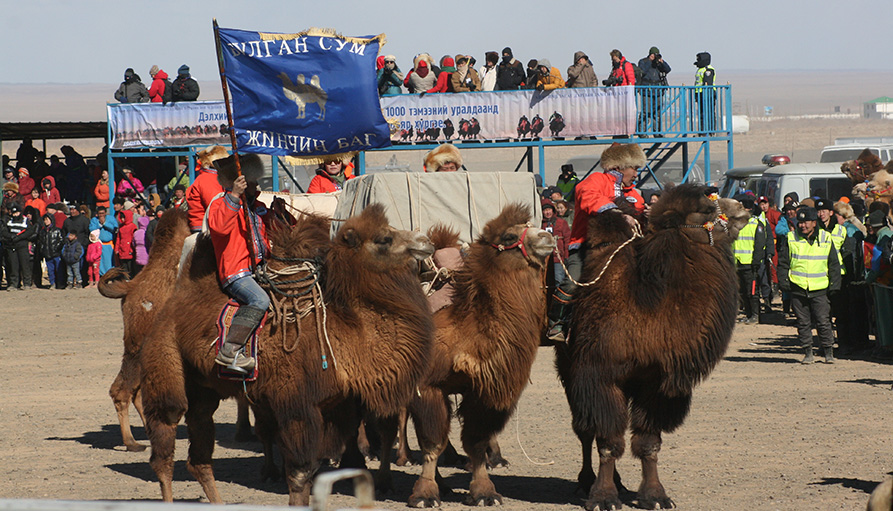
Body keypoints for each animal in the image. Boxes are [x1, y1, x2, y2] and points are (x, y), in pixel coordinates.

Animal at [139, 206, 436, 506]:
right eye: (384, 239)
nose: (426, 241)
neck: (344, 334)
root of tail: (171, 305)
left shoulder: (336, 406)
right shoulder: (296, 405)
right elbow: (300, 475)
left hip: (203, 390)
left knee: (198, 457)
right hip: (165, 363)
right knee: (164, 444)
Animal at [400, 205, 556, 508]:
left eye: (534, 224)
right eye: (509, 236)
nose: (547, 237)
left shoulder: (486, 391)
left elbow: (476, 441)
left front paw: (484, 492)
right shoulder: (427, 385)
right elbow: (432, 441)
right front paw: (424, 494)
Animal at [556, 185, 748, 511]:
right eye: (706, 209)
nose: (743, 207)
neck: (649, 308)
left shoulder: (656, 384)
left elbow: (649, 443)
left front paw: (655, 496)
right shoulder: (600, 376)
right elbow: (608, 442)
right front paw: (603, 497)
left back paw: (618, 483)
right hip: (569, 369)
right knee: (584, 429)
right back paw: (586, 482)